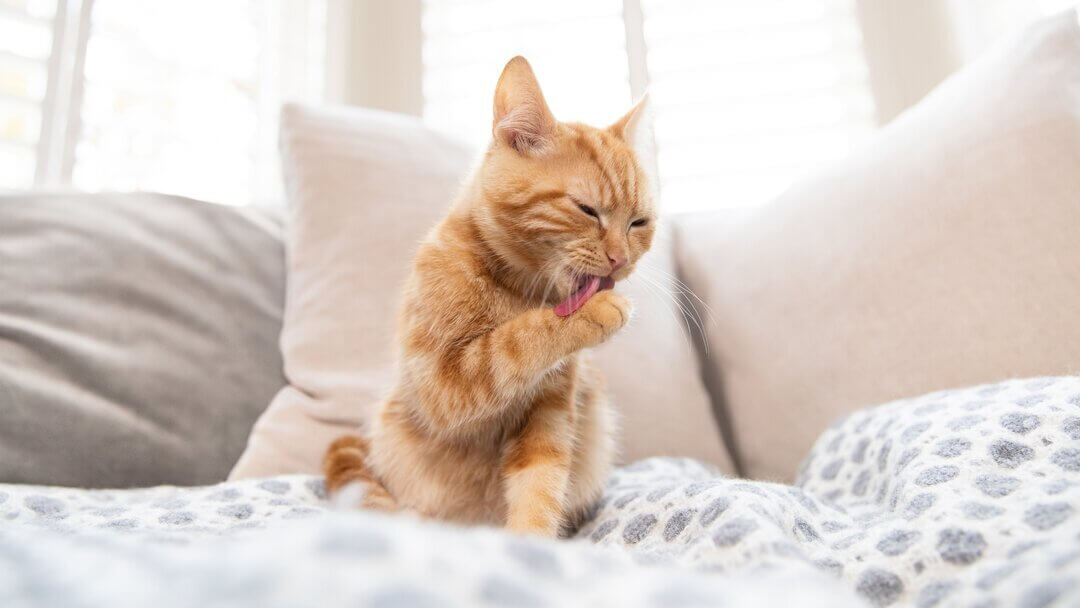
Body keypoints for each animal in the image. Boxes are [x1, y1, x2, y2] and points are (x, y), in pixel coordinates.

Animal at [321, 54, 656, 535]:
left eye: (639, 223)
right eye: (586, 210)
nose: (619, 259)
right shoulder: (443, 384)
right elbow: (511, 344)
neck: (520, 290)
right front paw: (592, 313)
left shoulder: (549, 414)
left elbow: (540, 487)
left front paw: (530, 540)